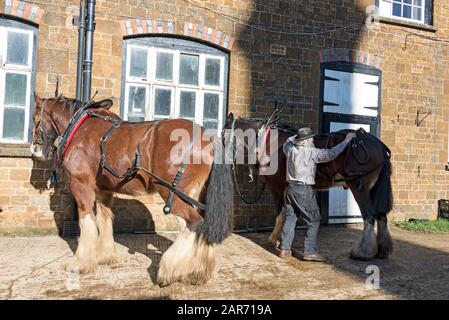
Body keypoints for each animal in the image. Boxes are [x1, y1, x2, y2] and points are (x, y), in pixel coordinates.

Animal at [30, 94, 233, 284]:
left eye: (34, 118)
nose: (35, 150)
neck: (80, 126)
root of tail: (206, 137)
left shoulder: (81, 185)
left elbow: (86, 220)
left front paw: (80, 263)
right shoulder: (104, 189)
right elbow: (104, 218)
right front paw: (105, 256)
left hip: (173, 195)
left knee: (194, 223)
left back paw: (170, 269)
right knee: (201, 226)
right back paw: (198, 270)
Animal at [224, 112, 392, 260]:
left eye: (223, 135)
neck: (269, 143)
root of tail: (378, 144)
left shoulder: (277, 186)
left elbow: (280, 212)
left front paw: (273, 239)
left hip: (360, 188)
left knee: (369, 215)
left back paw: (362, 252)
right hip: (373, 189)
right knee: (381, 214)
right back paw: (382, 249)